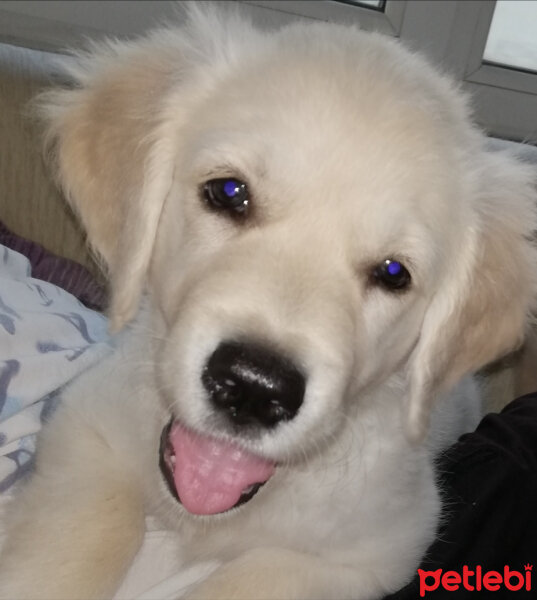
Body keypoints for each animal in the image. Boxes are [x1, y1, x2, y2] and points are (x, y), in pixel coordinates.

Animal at [1, 4, 536, 600]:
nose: (255, 387)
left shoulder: (382, 548)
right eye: (229, 193)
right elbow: (81, 531)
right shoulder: (87, 421)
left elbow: (251, 579)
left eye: (394, 274)